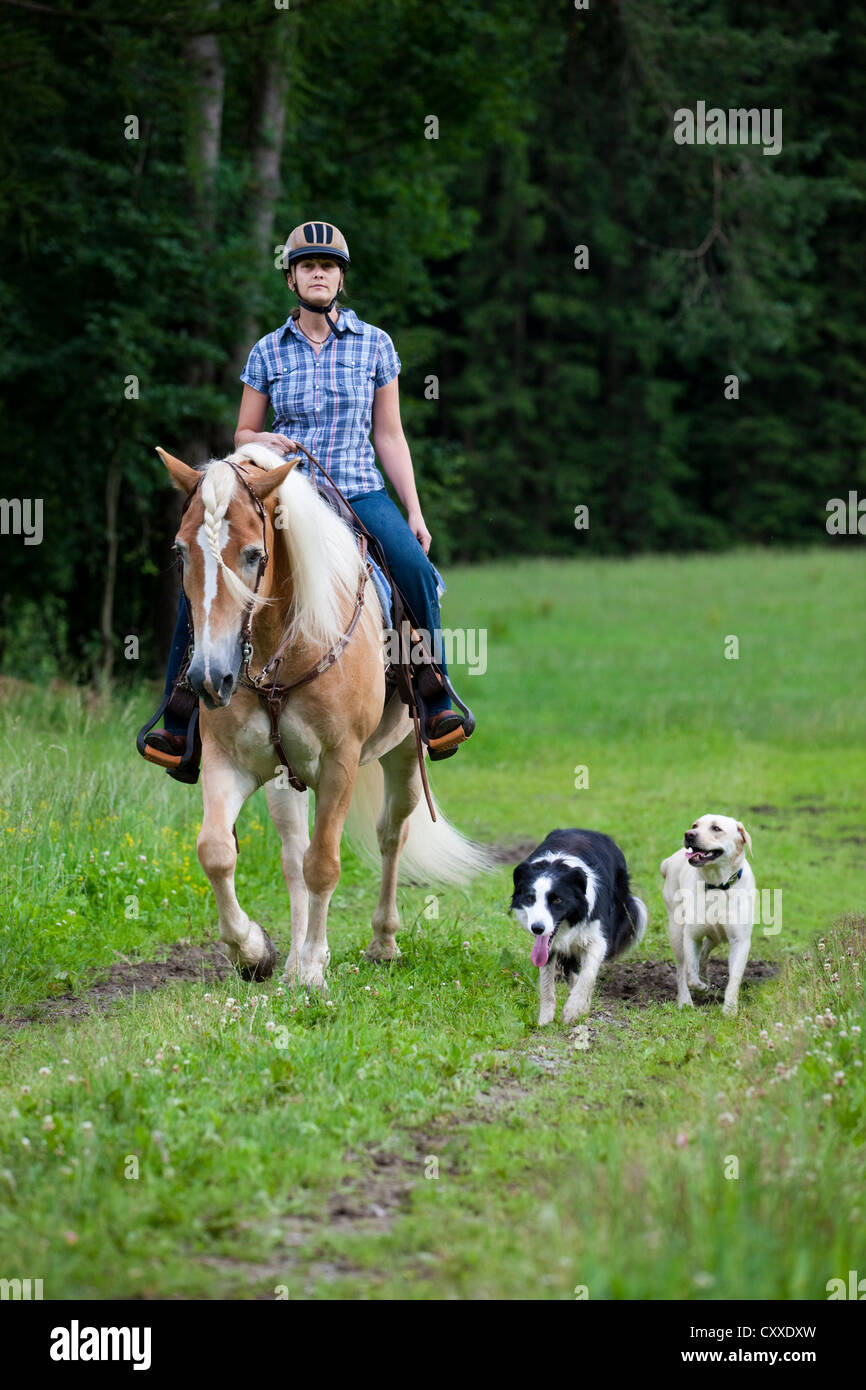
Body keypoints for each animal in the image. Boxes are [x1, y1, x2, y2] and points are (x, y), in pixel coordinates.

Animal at [156, 439, 494, 995]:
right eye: (181, 552)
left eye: (254, 555)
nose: (209, 678)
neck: (278, 650)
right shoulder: (231, 763)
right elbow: (218, 851)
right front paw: (256, 953)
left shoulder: (340, 764)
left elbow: (324, 865)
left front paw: (315, 966)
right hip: (283, 780)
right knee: (293, 855)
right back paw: (292, 960)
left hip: (403, 756)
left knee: (390, 835)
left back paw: (382, 943)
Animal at [511, 828, 647, 1028]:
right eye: (530, 898)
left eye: (557, 900)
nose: (537, 928)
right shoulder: (548, 944)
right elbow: (546, 981)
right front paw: (544, 1021)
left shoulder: (598, 935)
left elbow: (588, 974)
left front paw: (573, 1011)